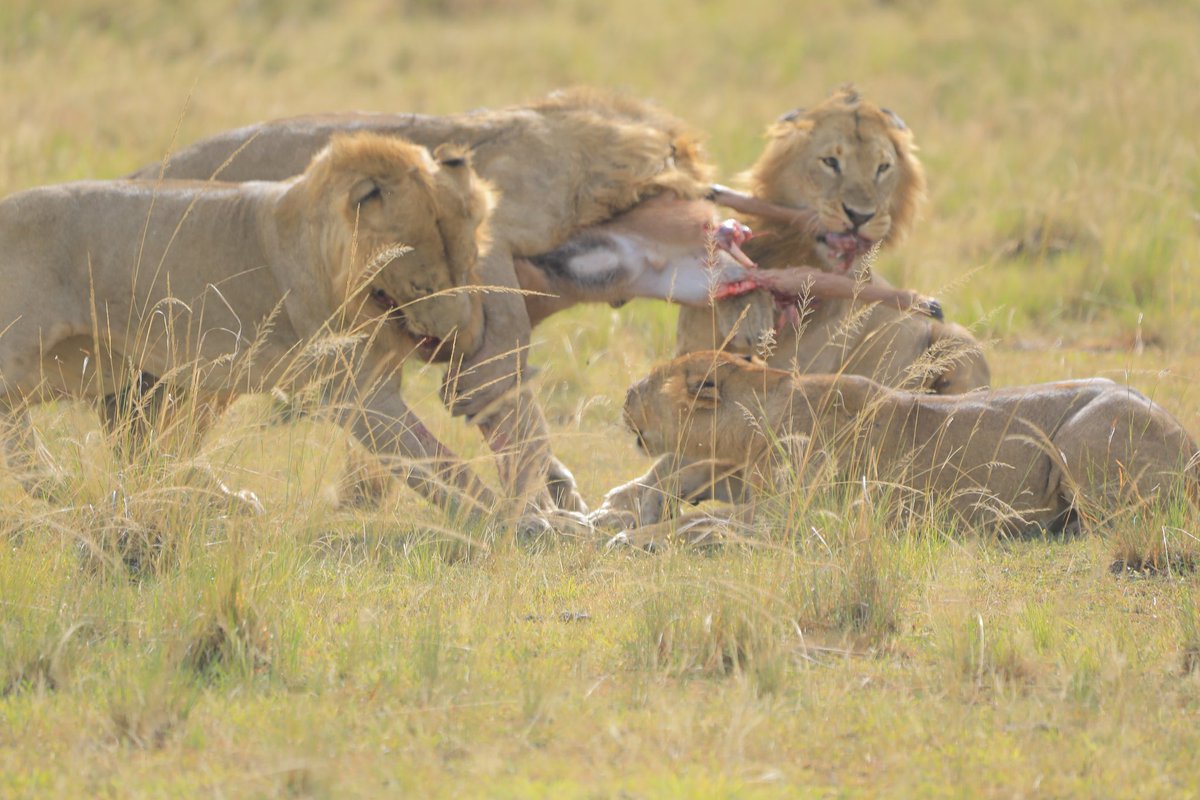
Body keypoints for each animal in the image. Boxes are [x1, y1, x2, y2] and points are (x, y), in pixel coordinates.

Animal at [0, 134, 508, 522]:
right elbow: (435, 462)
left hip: (107, 368)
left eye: (468, 268)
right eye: (422, 285)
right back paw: (64, 484)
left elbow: (432, 458)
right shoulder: (356, 394)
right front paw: (507, 522)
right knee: (20, 428)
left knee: (143, 452)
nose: (460, 341)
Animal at [614, 352, 1195, 551]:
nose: (623, 395)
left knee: (1112, 523)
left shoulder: (800, 511)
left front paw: (634, 536)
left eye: (648, 383)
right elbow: (702, 486)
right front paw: (640, 502)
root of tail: (1190, 447)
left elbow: (701, 521)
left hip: (1085, 435)